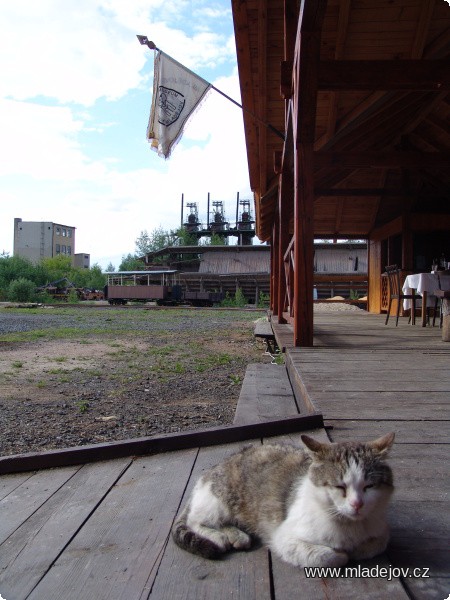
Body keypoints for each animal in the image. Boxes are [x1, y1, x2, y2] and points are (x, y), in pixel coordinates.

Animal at [171, 432, 394, 568]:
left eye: (369, 486)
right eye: (340, 486)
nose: (357, 504)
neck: (350, 527)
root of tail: (211, 469)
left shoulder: (381, 529)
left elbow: (379, 543)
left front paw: (357, 549)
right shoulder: (284, 539)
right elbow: (328, 556)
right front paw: (342, 554)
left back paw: (237, 536)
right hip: (218, 503)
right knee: (195, 521)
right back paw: (219, 537)